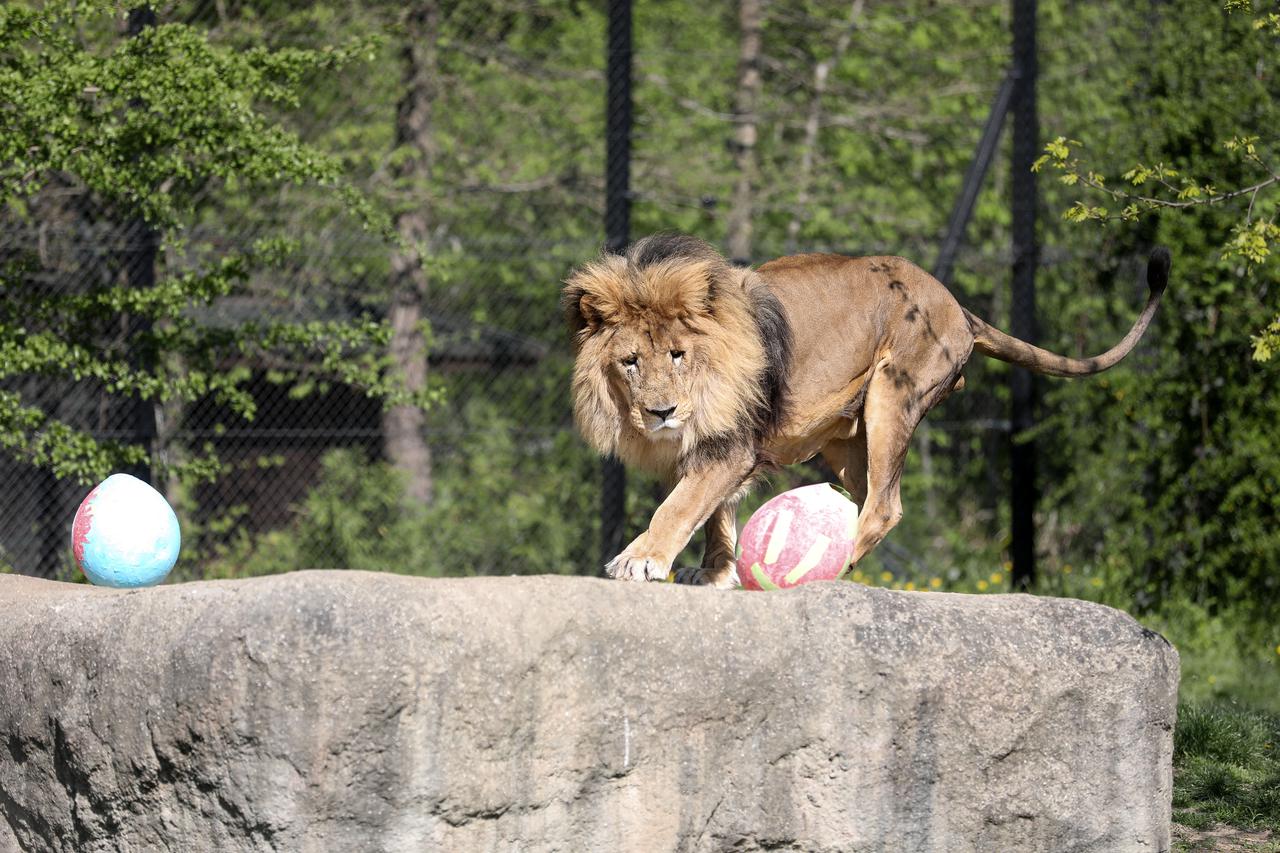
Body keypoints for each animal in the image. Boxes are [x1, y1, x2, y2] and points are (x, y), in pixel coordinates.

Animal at [563, 233, 1172, 584]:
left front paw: (641, 558)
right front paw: (717, 573)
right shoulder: (710, 447)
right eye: (631, 362)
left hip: (894, 393)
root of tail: (957, 305)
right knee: (862, 499)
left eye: (677, 354)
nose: (661, 413)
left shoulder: (732, 445)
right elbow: (714, 513)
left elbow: (680, 506)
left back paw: (835, 568)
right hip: (845, 440)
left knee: (885, 507)